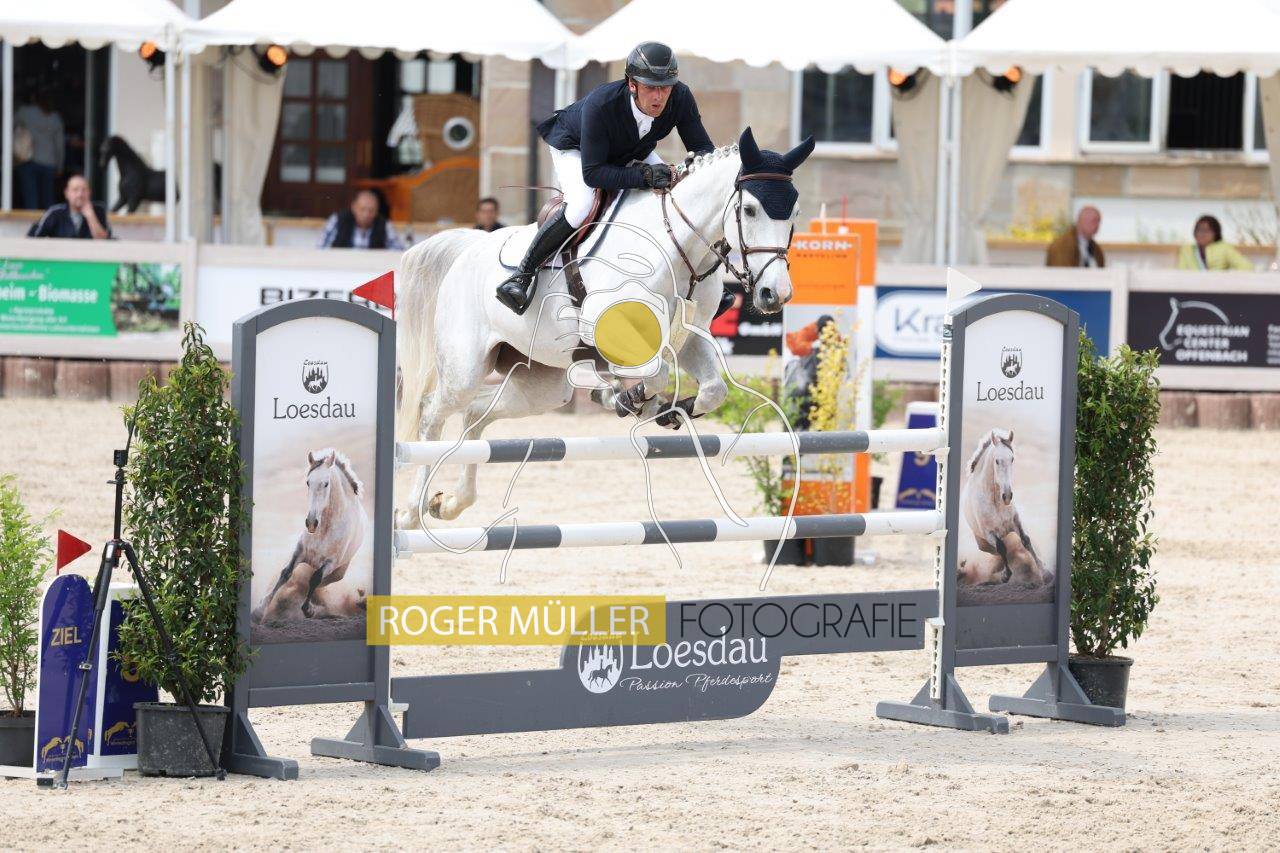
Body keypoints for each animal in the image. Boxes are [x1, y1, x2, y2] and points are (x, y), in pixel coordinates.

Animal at [254, 449, 369, 622]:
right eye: (308, 482)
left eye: (326, 483)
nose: (311, 523)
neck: (324, 530)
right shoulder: (300, 551)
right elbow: (286, 573)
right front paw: (260, 610)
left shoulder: (330, 563)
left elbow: (315, 579)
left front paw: (309, 610)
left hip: (337, 573)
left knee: (320, 582)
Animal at [395, 127, 815, 528]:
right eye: (750, 209)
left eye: (794, 211)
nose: (774, 294)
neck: (675, 247)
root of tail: (470, 246)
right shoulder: (612, 329)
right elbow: (657, 374)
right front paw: (627, 400)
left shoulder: (690, 337)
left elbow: (713, 390)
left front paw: (668, 410)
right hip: (464, 369)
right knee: (433, 416)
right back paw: (411, 512)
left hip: (540, 385)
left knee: (476, 415)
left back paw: (450, 503)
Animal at [959, 428, 1046, 585]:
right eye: (997, 461)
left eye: (1012, 459)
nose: (1007, 496)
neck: (996, 503)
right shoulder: (989, 533)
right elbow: (1001, 548)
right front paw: (1005, 575)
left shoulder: (1015, 522)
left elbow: (1026, 540)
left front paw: (1045, 572)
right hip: (982, 543)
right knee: (996, 551)